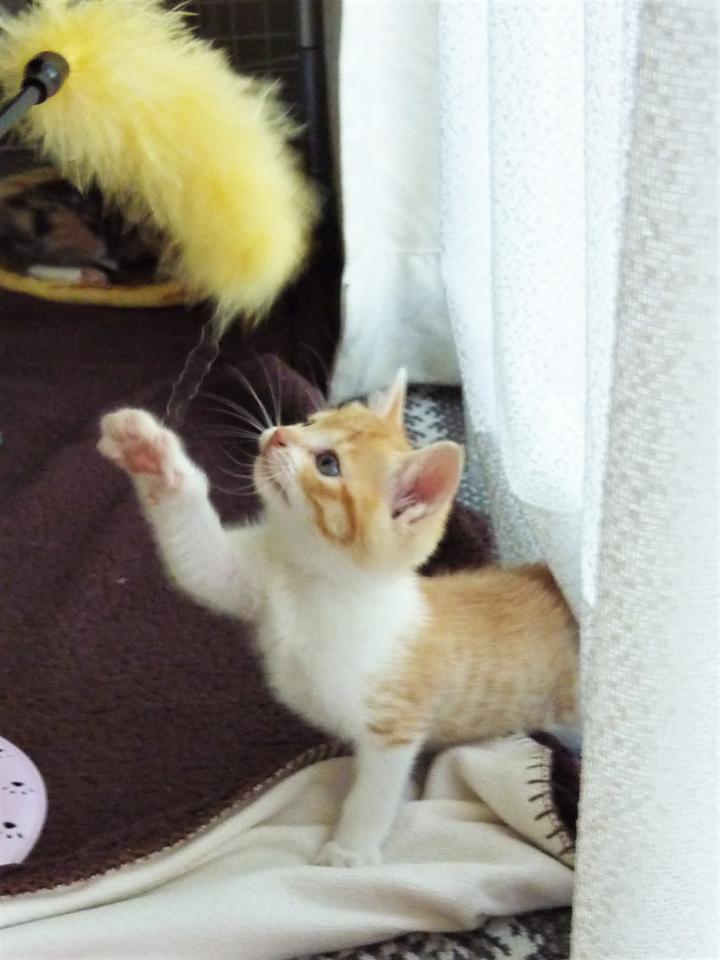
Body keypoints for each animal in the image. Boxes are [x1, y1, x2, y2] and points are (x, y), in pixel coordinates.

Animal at [97, 370, 578, 867]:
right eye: (310, 420)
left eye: (328, 464)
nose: (279, 433)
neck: (315, 585)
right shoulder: (247, 578)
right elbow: (200, 561)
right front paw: (149, 453)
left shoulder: (394, 725)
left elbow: (376, 793)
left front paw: (351, 850)